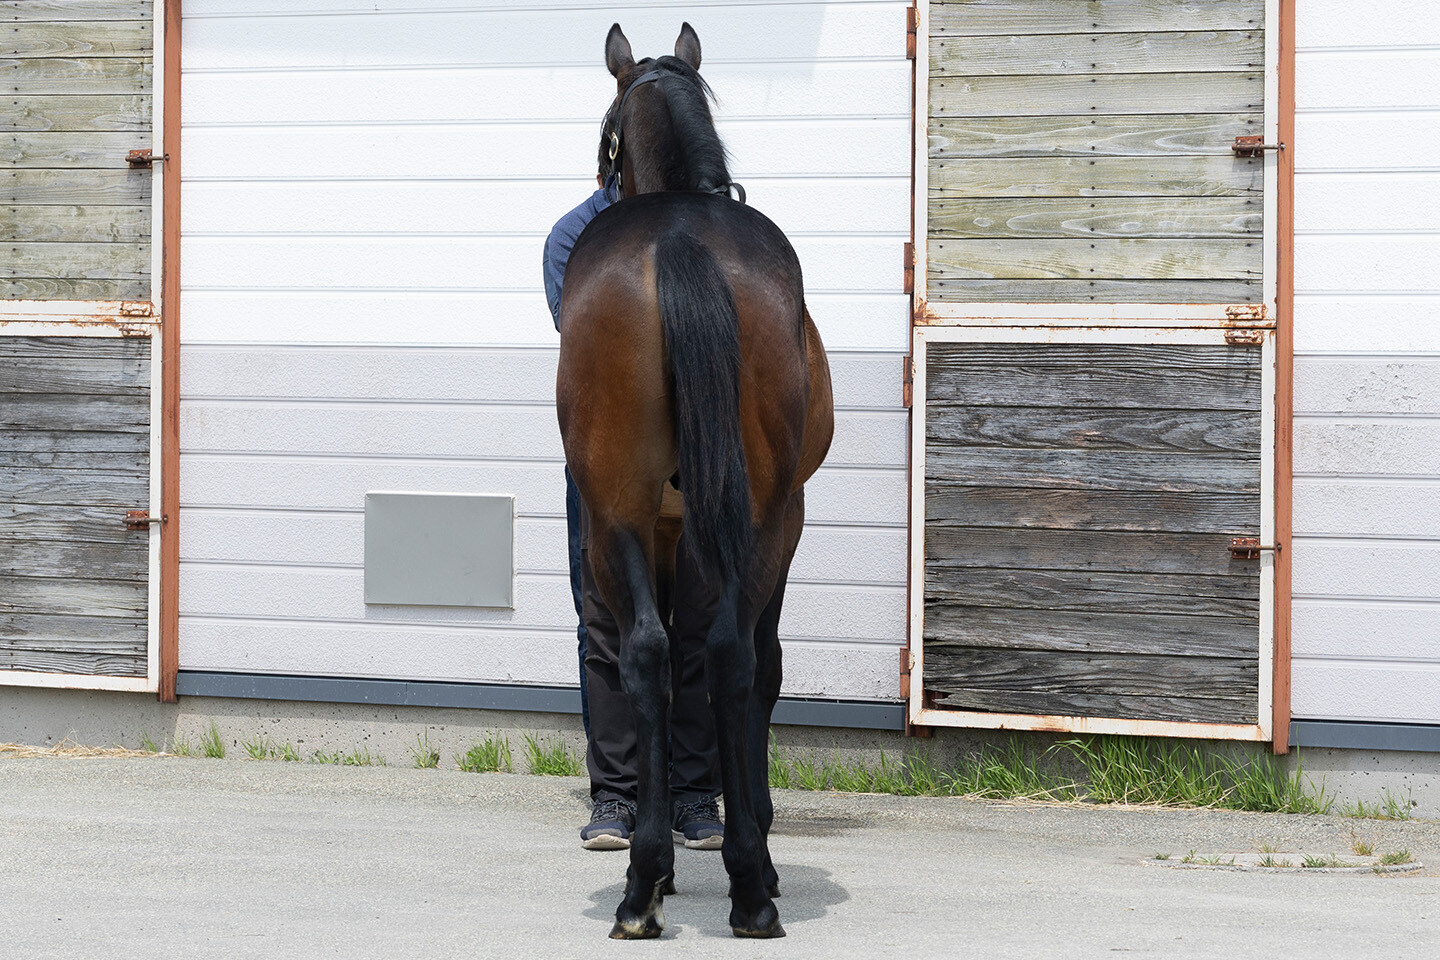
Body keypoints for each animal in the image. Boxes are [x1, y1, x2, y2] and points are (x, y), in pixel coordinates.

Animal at [555, 22, 834, 940]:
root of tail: (677, 239)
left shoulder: (668, 526)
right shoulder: (783, 520)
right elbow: (762, 667)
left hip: (615, 513)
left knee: (650, 652)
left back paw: (644, 884)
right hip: (762, 515)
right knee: (731, 653)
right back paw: (748, 881)